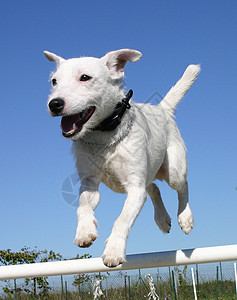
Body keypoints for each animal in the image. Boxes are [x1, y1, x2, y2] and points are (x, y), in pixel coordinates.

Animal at [44, 49, 200, 268]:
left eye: (85, 77)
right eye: (54, 81)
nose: (54, 104)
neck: (104, 136)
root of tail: (162, 109)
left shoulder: (134, 188)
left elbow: (122, 219)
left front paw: (114, 250)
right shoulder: (90, 184)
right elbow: (83, 207)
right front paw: (84, 231)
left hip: (173, 171)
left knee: (182, 186)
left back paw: (185, 217)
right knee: (153, 187)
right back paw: (162, 218)